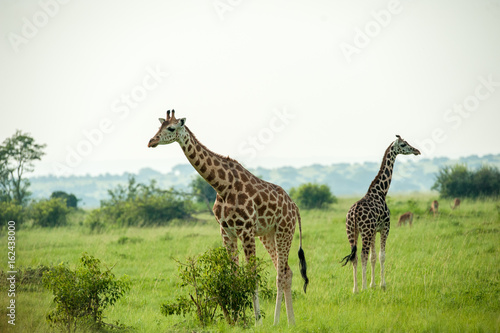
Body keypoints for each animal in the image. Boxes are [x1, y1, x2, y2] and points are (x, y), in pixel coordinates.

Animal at [146, 110, 306, 322]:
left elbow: (251, 275)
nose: (151, 141)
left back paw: (275, 322)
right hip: (267, 234)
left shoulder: (246, 230)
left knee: (281, 274)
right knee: (287, 271)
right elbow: (233, 275)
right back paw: (290, 322)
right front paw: (236, 318)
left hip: (284, 230)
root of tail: (294, 206)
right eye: (159, 126)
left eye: (171, 128)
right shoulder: (226, 231)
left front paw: (257, 320)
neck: (222, 186)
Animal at [340, 134, 418, 290]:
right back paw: (362, 288)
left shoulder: (374, 230)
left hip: (351, 231)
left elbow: (373, 257)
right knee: (362, 254)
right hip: (365, 231)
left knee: (355, 256)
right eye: (403, 144)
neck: (382, 191)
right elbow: (381, 256)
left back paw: (355, 289)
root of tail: (354, 212)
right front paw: (382, 285)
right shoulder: (385, 228)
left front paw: (372, 284)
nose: (416, 150)